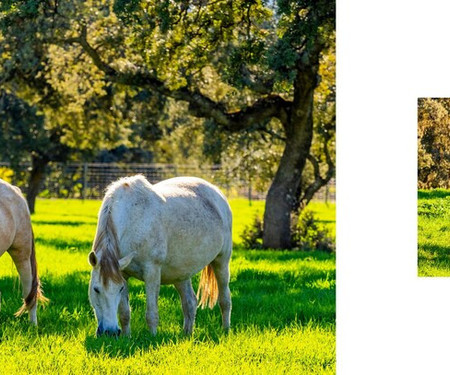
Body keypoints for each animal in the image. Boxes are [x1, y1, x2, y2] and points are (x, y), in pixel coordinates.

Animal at [89, 176, 234, 338]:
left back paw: (226, 330)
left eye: (119, 289)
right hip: (180, 274)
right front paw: (126, 338)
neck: (132, 218)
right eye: (96, 289)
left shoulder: (152, 271)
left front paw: (152, 338)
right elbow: (124, 313)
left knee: (225, 300)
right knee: (189, 303)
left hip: (222, 261)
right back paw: (187, 335)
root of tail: (218, 193)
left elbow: (151, 314)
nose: (111, 332)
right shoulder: (123, 273)